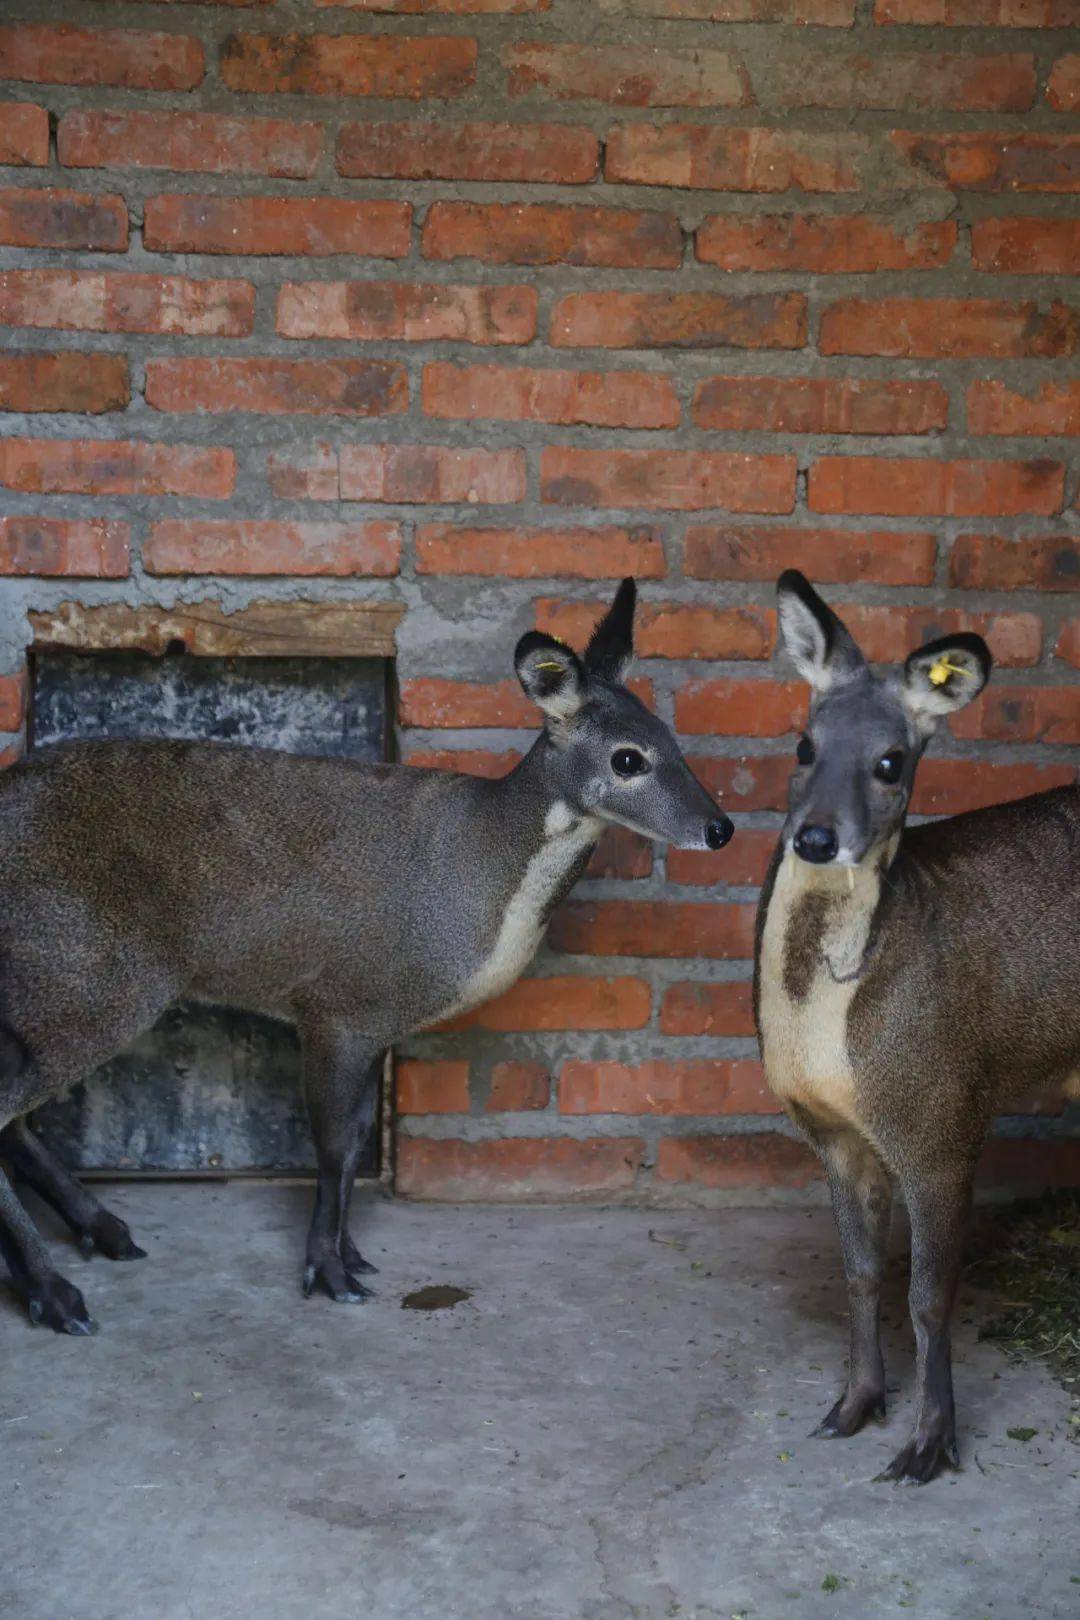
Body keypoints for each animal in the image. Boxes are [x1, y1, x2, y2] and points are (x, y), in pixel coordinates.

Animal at [0, 576, 735, 1334]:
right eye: (628, 758)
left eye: (673, 741)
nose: (720, 828)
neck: (475, 871)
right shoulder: (337, 1006)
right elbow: (332, 1145)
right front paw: (327, 1272)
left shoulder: (378, 1021)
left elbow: (354, 1141)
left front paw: (351, 1255)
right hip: (84, 981)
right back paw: (57, 1293)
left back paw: (100, 1235)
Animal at [751, 570, 1080, 1483]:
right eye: (803, 745)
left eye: (891, 762)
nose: (815, 837)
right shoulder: (833, 1132)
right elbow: (863, 1276)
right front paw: (854, 1407)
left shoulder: (945, 1119)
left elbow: (929, 1297)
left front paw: (930, 1446)